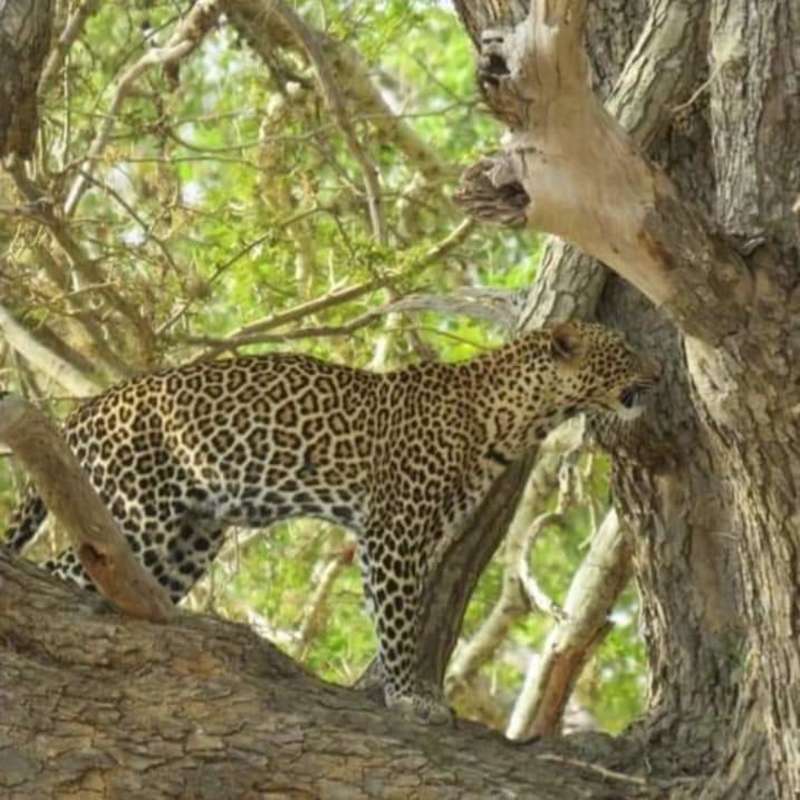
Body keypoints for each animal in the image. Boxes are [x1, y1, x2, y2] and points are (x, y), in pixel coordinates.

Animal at [4, 320, 659, 724]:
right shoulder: (394, 532)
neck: (518, 415)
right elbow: (400, 621)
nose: (657, 377)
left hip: (187, 537)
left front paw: (403, 689)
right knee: (60, 568)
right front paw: (409, 697)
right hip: (137, 511)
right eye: (625, 352)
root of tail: (82, 411)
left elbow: (399, 613)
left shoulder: (407, 536)